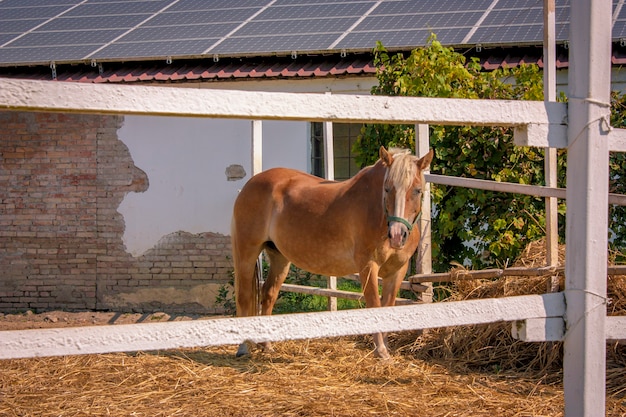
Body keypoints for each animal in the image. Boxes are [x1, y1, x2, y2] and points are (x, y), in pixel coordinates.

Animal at [232, 145, 432, 358]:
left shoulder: (397, 271)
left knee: (269, 293)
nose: (396, 235)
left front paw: (384, 348)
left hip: (280, 258)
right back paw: (243, 347)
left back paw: (267, 345)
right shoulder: (368, 266)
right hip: (246, 252)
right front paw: (380, 350)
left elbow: (388, 307)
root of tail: (250, 184)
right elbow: (374, 305)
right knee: (244, 296)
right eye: (387, 188)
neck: (377, 212)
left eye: (417, 190)